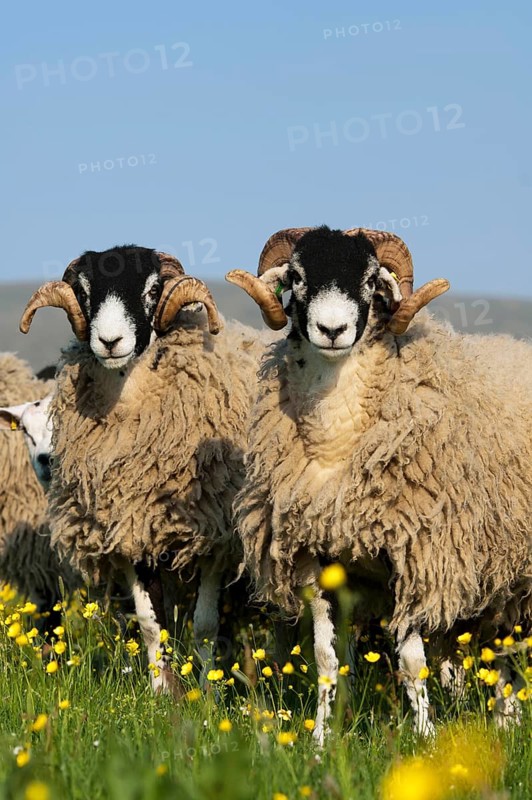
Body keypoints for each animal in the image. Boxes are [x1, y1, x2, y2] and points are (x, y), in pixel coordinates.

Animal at [19, 245, 273, 690]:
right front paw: (162, 691)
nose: (110, 341)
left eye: (153, 290)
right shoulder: (131, 530)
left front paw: (206, 691)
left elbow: (205, 625)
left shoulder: (215, 534)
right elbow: (151, 623)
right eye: (83, 291)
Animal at [226, 225, 532, 741]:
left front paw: (426, 738)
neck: (336, 446)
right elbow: (326, 660)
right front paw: (320, 739)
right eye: (297, 276)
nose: (331, 331)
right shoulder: (315, 557)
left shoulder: (414, 553)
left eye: (371, 280)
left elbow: (411, 662)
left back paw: (506, 722)